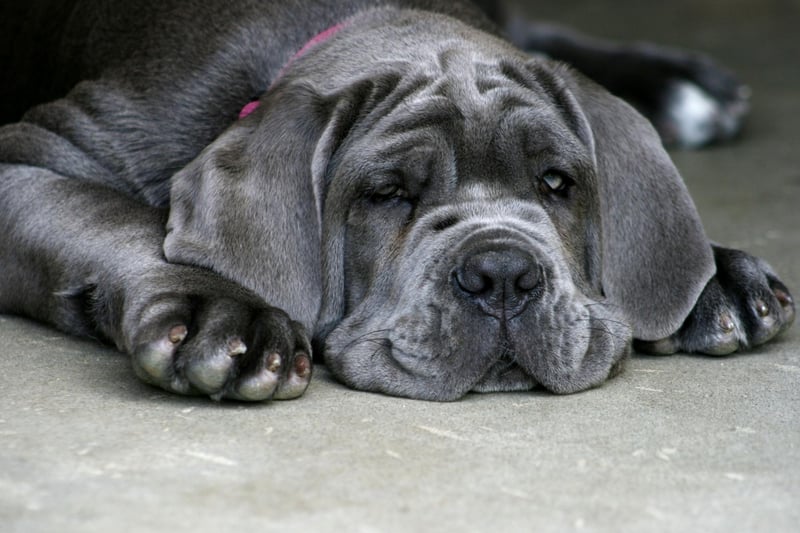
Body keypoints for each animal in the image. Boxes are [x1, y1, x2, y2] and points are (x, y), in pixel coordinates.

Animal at [0, 0, 792, 400]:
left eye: (555, 183)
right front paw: (217, 310)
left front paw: (715, 274)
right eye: (387, 194)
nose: (504, 273)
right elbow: (118, 218)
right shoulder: (32, 155)